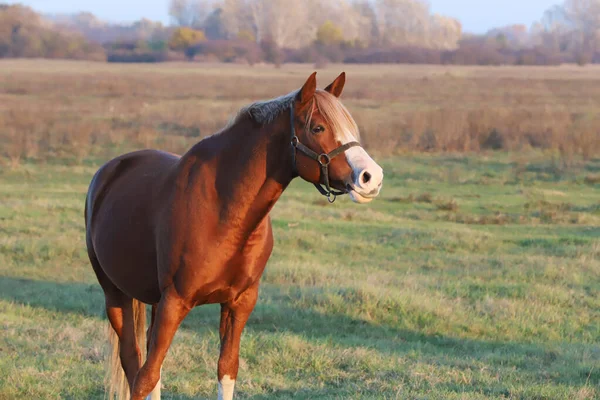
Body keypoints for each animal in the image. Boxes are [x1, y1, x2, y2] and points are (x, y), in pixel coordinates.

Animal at [84, 72, 384, 400]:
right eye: (318, 127)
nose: (372, 177)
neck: (225, 212)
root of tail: (109, 170)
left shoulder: (239, 303)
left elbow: (226, 370)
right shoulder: (174, 302)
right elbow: (144, 378)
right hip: (116, 295)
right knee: (134, 361)